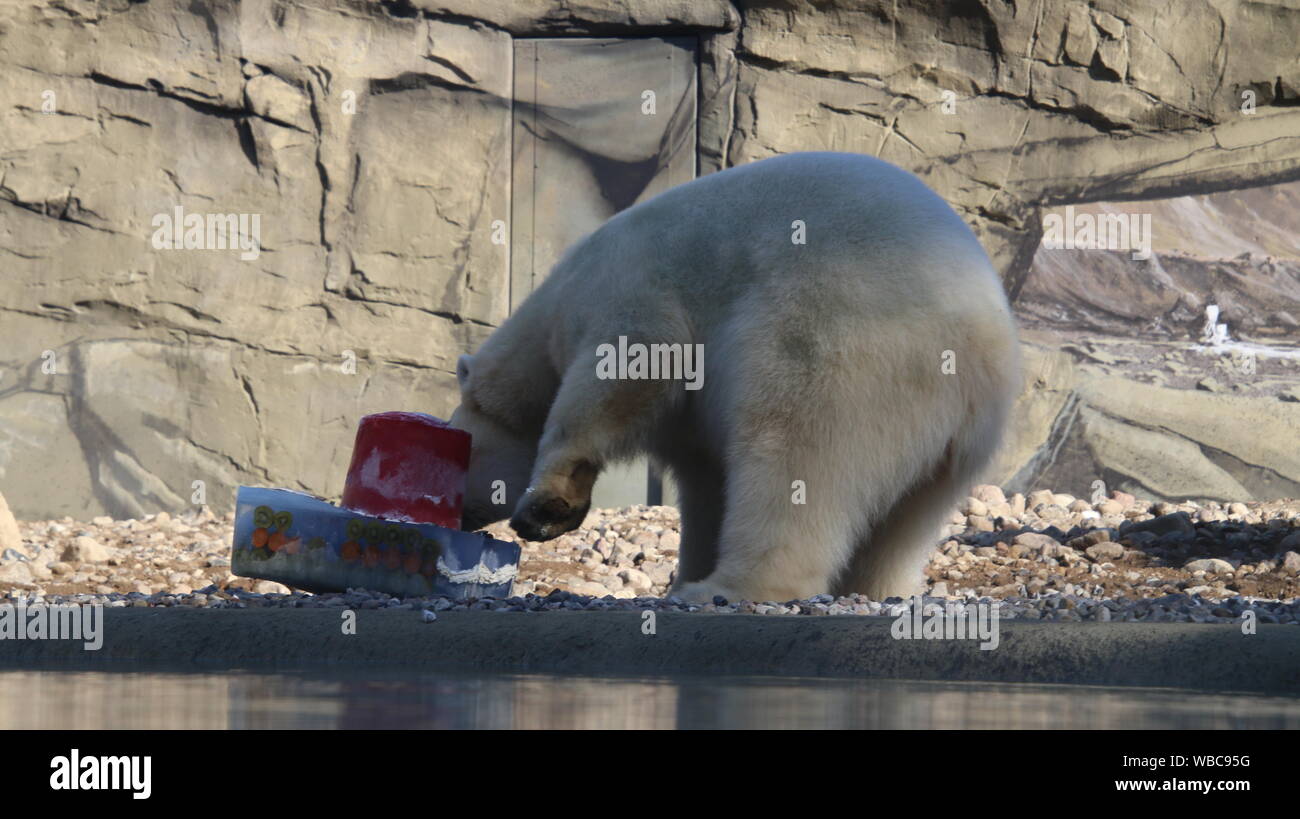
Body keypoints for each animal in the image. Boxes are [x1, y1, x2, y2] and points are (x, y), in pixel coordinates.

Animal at [452, 152, 1019, 603]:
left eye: (462, 454)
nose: (455, 517)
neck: (556, 303)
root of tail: (979, 343)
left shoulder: (630, 291)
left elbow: (625, 375)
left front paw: (545, 507)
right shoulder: (693, 421)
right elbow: (705, 480)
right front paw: (686, 568)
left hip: (843, 349)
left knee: (794, 457)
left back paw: (729, 588)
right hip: (955, 442)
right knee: (905, 520)